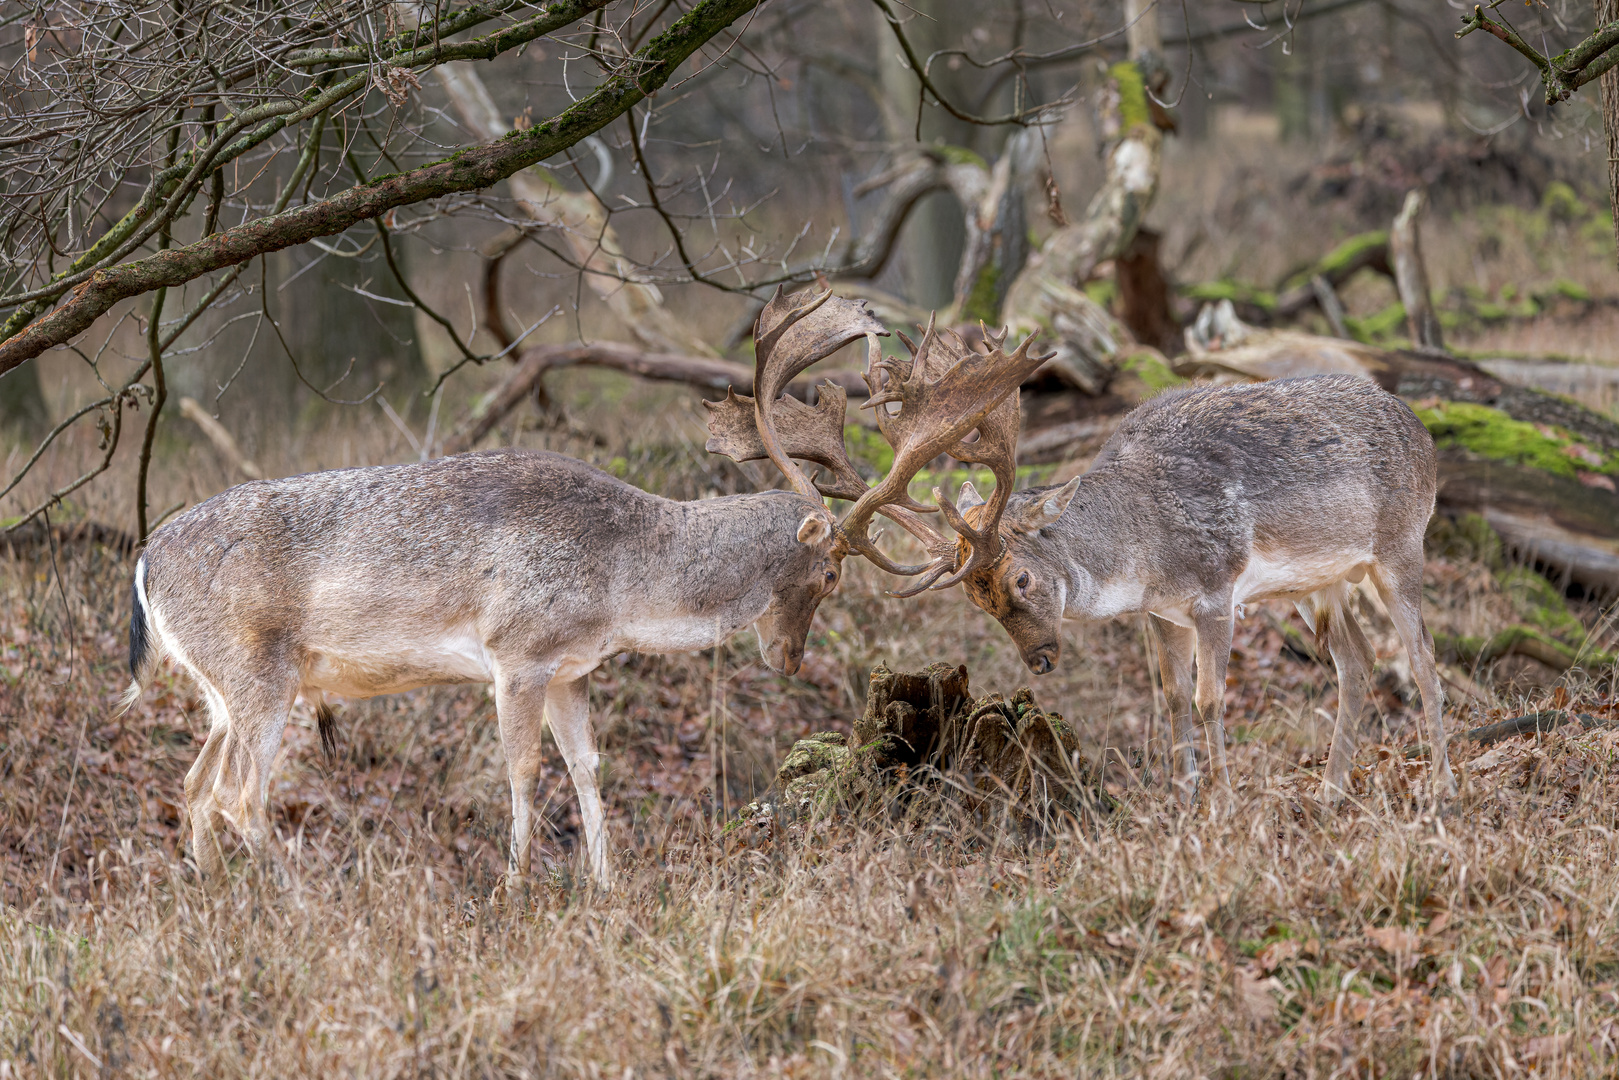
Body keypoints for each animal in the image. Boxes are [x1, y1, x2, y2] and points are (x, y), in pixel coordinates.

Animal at [119, 286, 1042, 887]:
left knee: (195, 788)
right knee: (240, 795)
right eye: (826, 572)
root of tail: (144, 559)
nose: (785, 659)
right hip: (257, 670)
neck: (622, 580)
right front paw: (516, 886)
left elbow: (590, 766)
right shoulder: (516, 651)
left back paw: (220, 901)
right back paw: (299, 901)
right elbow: (525, 770)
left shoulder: (571, 669)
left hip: (219, 686)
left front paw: (605, 885)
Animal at [887, 338, 1457, 803]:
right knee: (1358, 658)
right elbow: (1175, 698)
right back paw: (1330, 790)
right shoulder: (1163, 613)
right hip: (1317, 584)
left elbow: (1210, 700)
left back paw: (1442, 787)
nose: (1040, 659)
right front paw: (1182, 804)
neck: (1147, 557)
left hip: (1402, 546)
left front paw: (1221, 804)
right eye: (976, 600)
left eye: (1021, 578)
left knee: (1422, 654)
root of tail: (1424, 433)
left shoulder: (1217, 591)